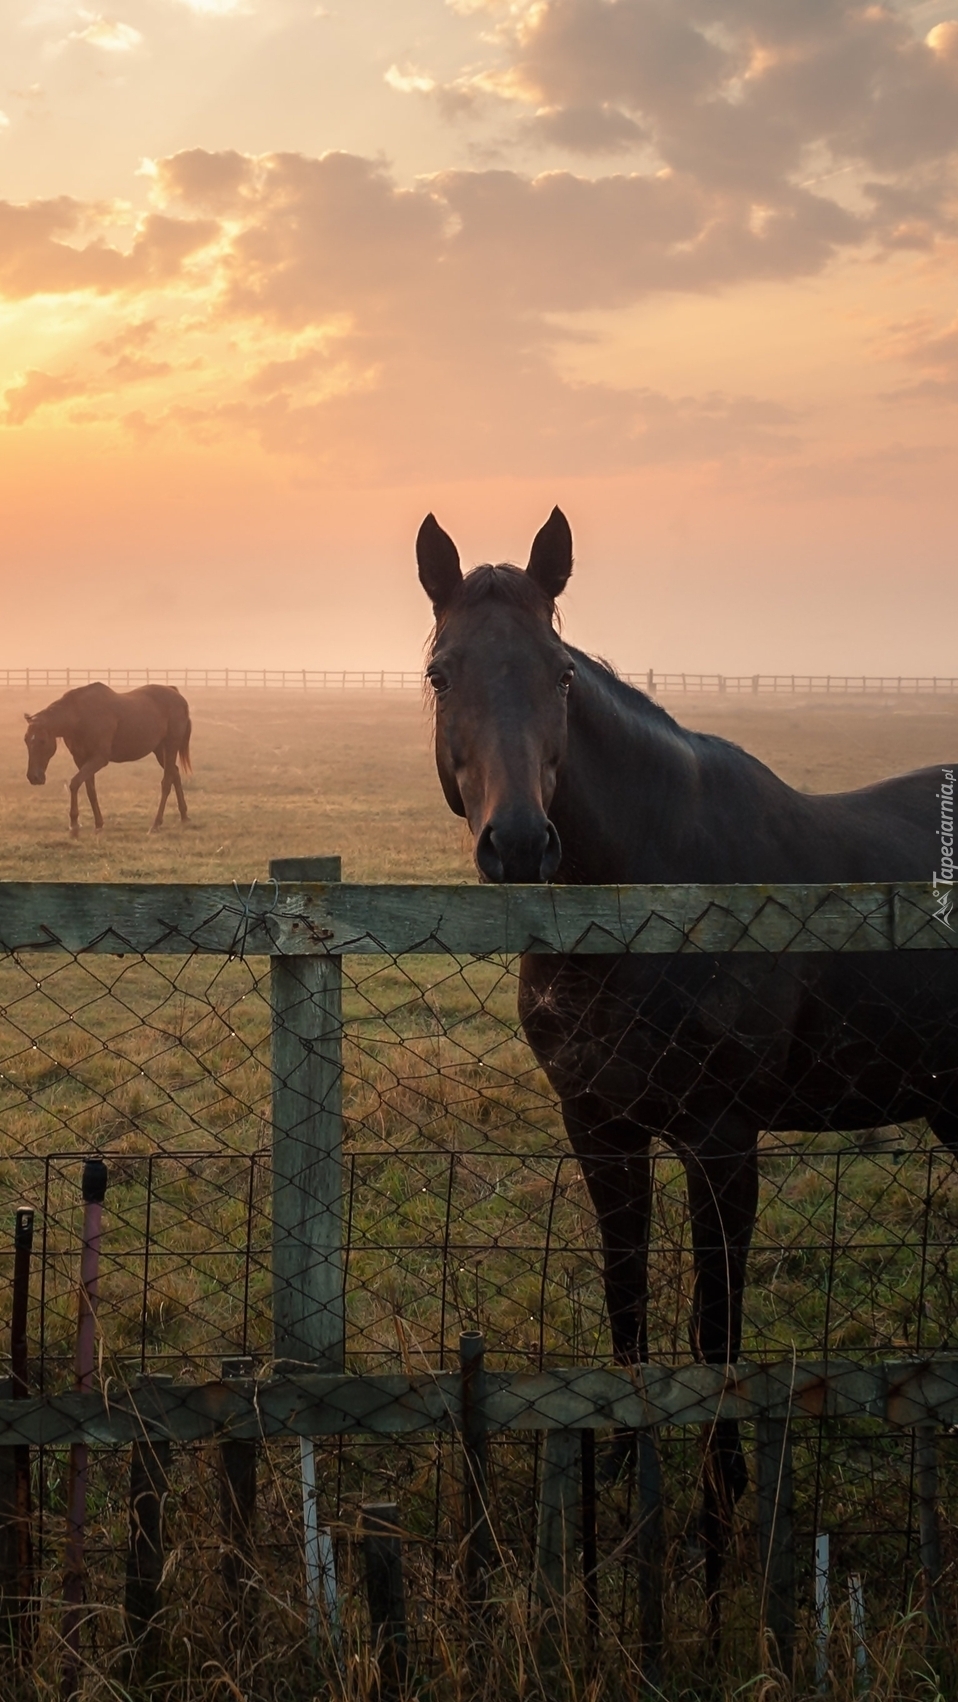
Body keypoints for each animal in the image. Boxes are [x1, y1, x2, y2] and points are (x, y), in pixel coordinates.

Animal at [24, 680, 192, 833]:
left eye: (42, 741)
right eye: (26, 740)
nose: (34, 777)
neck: (80, 715)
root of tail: (176, 694)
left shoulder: (99, 759)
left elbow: (75, 783)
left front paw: (74, 824)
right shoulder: (81, 760)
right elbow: (90, 790)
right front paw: (98, 824)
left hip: (170, 747)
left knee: (166, 782)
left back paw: (156, 824)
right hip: (160, 751)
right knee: (175, 773)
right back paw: (184, 816)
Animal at [416, 500, 958, 1633]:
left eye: (560, 674)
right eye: (442, 672)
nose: (519, 844)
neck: (647, 897)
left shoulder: (720, 1141)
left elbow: (716, 1335)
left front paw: (722, 1512)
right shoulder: (601, 1131)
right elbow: (627, 1313)